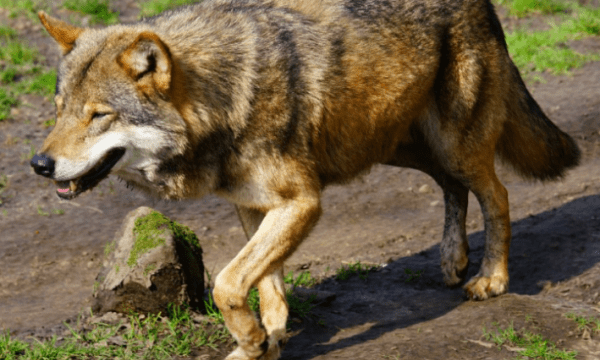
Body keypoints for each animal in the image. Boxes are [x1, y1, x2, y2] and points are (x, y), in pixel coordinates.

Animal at [30, 1, 580, 358]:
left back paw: (491, 278)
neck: (222, 96)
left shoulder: (302, 201)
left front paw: (252, 339)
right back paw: (452, 259)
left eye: (98, 115)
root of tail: (483, 2)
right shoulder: (254, 205)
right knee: (452, 186)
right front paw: (267, 340)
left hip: (453, 145)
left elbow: (228, 283)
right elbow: (264, 280)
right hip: (392, 146)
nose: (39, 164)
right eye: (58, 111)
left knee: (497, 194)